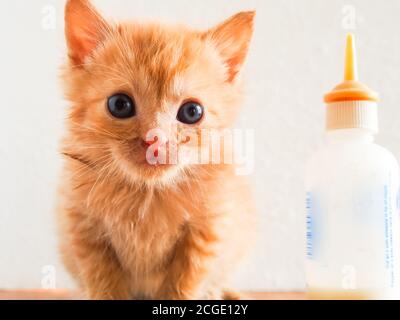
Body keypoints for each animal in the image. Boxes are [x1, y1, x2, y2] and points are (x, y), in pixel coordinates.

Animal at [60, 0, 256, 300]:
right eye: (119, 105)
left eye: (192, 111)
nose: (155, 140)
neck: (147, 195)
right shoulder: (84, 229)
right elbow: (104, 284)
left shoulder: (206, 232)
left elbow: (183, 286)